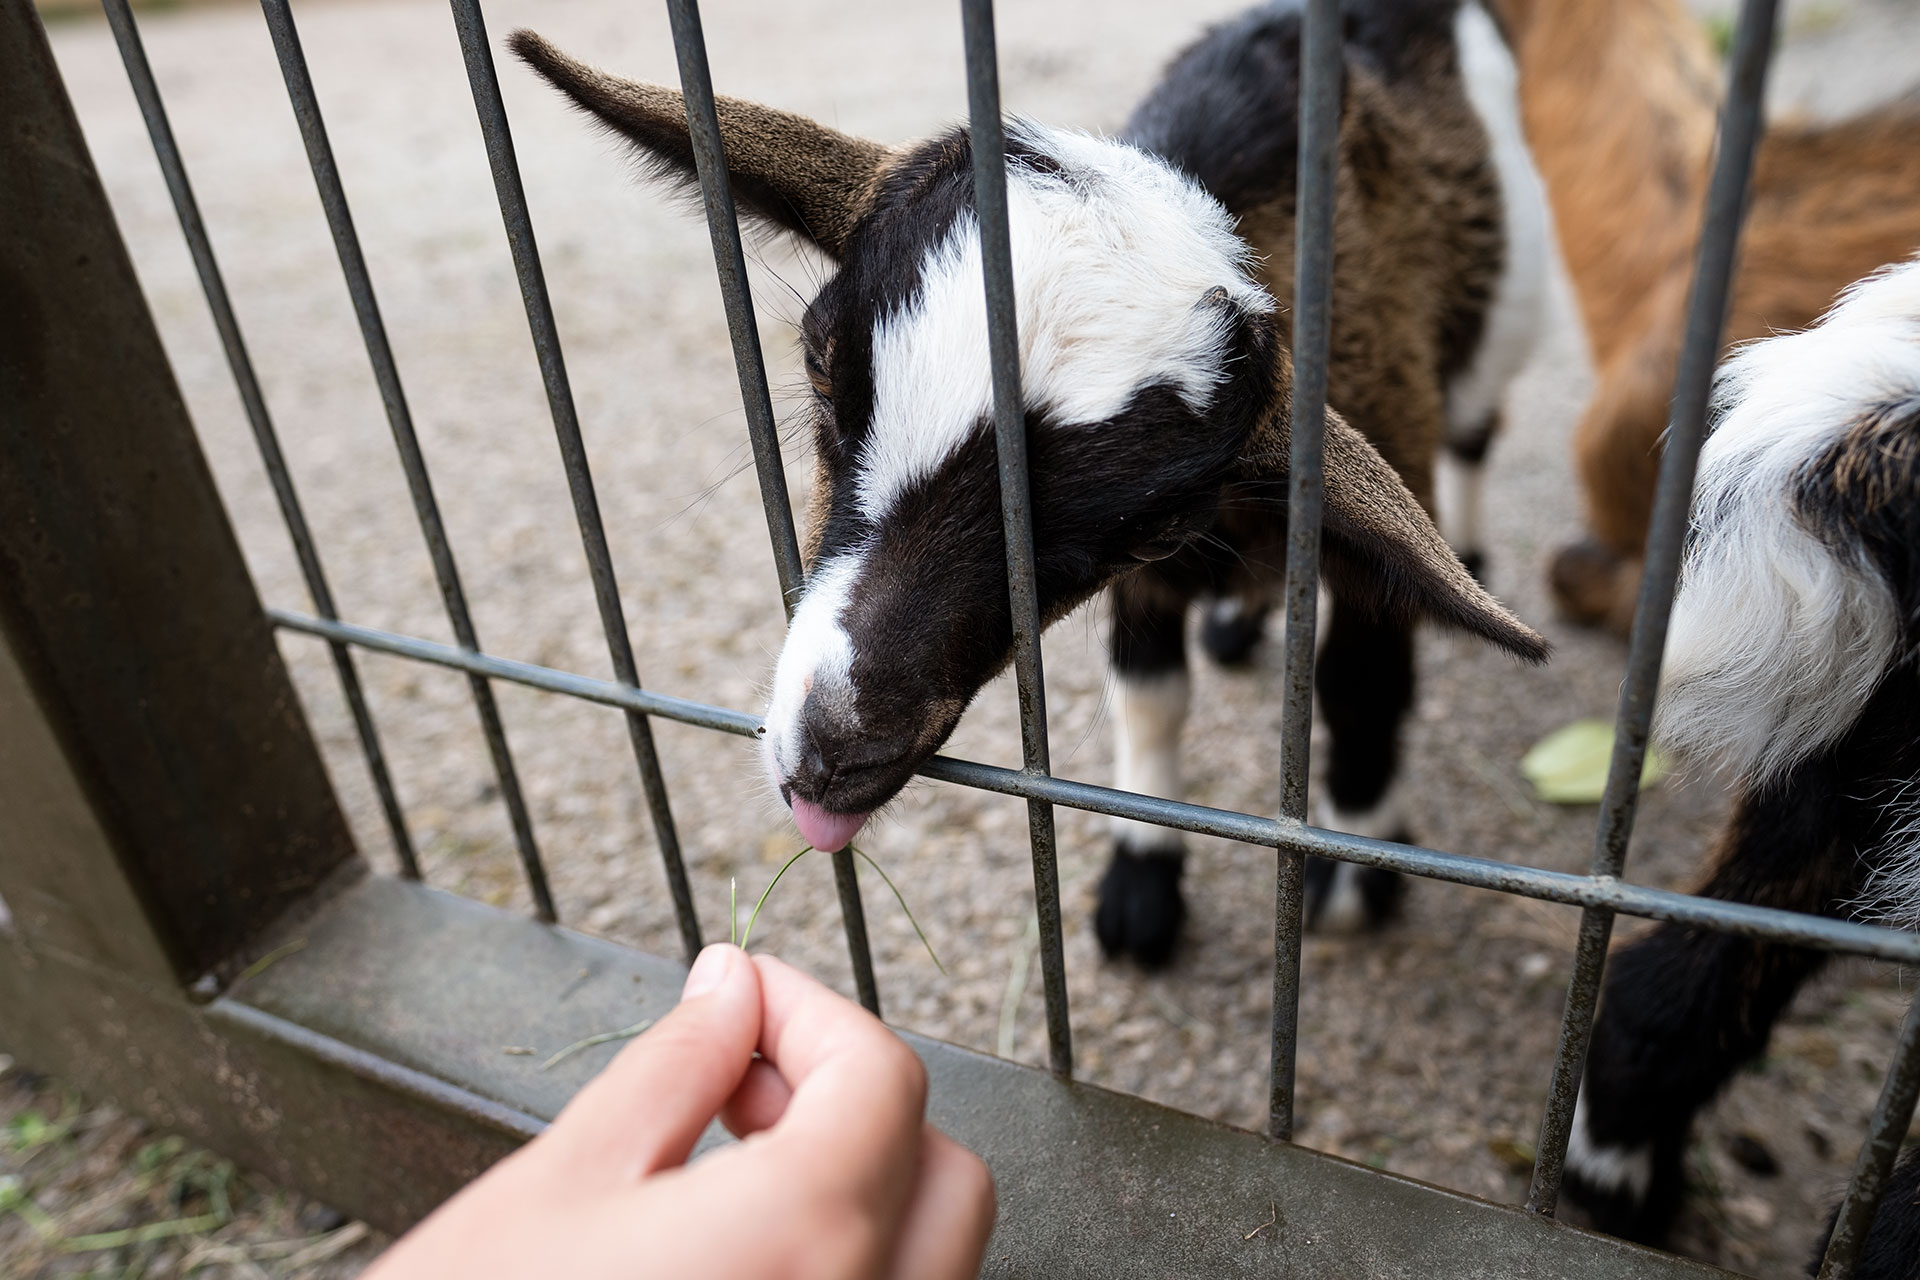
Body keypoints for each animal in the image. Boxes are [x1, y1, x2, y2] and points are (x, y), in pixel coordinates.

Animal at [518, 0, 1551, 967]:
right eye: (817, 367)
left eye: (1152, 520)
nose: (825, 761)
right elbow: (1151, 691)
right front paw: (1143, 878)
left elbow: (1360, 681)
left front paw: (1352, 874)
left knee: (1477, 434)